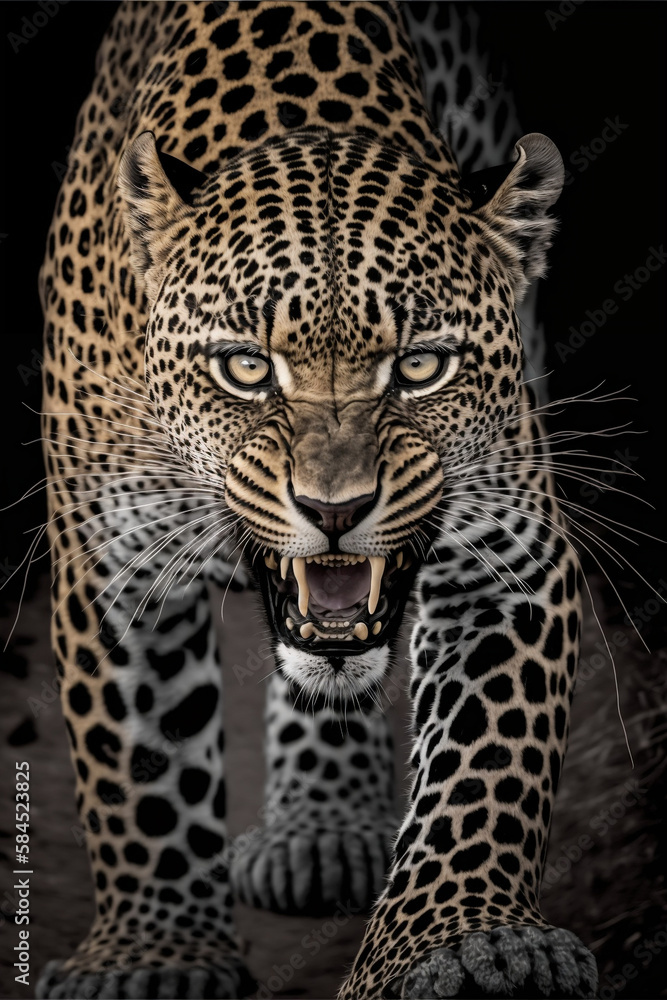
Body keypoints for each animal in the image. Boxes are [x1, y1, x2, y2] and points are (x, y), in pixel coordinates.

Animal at [36, 2, 598, 998]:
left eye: (420, 366)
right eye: (245, 368)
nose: (335, 509)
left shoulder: (508, 560)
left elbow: (484, 778)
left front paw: (469, 944)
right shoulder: (112, 564)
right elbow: (140, 773)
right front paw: (151, 958)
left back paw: (324, 828)